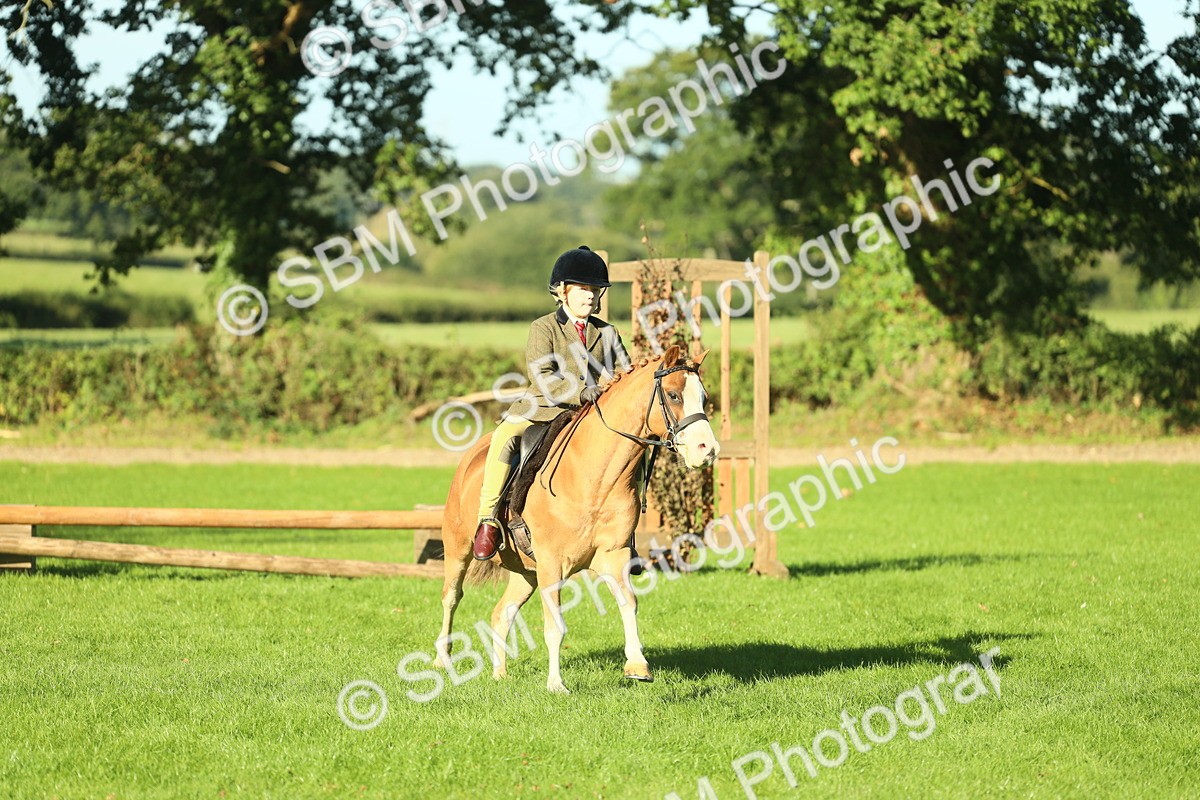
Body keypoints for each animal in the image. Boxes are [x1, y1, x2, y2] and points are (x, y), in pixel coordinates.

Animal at [436, 343, 720, 694]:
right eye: (674, 395)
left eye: (704, 398)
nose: (707, 450)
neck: (596, 478)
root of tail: (471, 456)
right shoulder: (552, 564)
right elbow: (555, 626)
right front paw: (556, 685)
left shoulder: (613, 556)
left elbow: (629, 603)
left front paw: (637, 665)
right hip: (459, 549)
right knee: (452, 598)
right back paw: (443, 660)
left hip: (526, 572)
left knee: (502, 613)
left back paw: (499, 674)